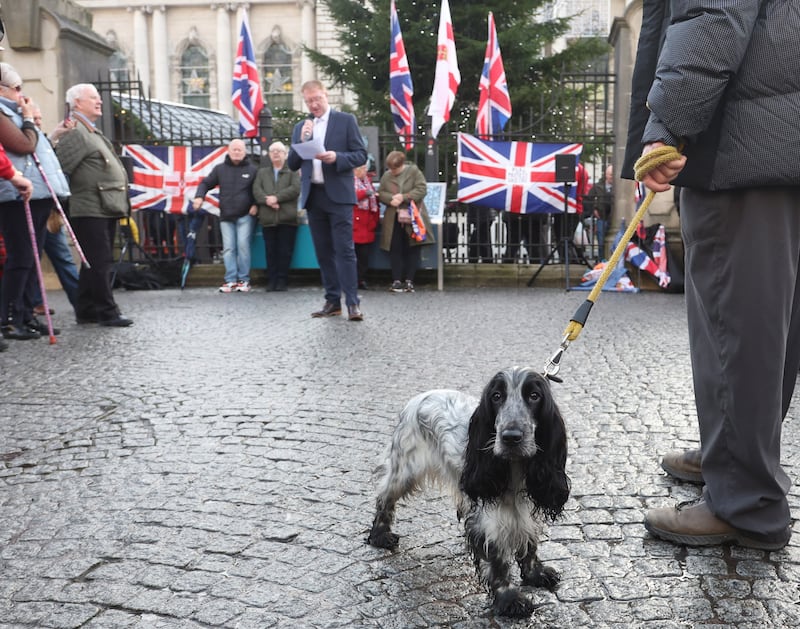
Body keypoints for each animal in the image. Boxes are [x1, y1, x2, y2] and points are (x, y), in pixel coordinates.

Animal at [368, 366, 568, 616]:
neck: (514, 468)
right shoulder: (488, 518)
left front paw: (535, 574)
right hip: (405, 468)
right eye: (496, 396)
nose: (511, 437)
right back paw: (379, 535)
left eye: (534, 396)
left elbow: (529, 543)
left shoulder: (526, 508)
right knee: (384, 496)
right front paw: (510, 599)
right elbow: (498, 559)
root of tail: (416, 399)